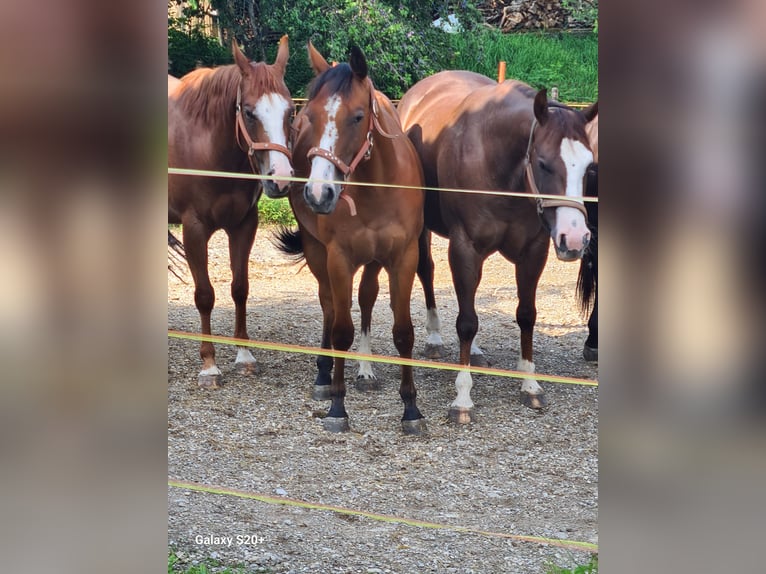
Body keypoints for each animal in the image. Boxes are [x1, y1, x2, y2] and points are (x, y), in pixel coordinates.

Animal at [169, 35, 294, 388]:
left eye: (291, 112)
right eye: (249, 113)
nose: (281, 179)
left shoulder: (243, 225)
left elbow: (240, 288)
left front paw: (244, 356)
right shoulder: (194, 229)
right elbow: (205, 295)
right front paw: (209, 365)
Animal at [276, 42, 428, 434]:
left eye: (358, 117)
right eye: (309, 117)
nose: (319, 194)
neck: (376, 186)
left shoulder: (403, 258)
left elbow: (403, 331)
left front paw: (411, 409)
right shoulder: (339, 258)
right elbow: (341, 329)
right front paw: (337, 407)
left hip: (373, 261)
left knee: (366, 298)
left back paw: (365, 369)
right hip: (317, 252)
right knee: (330, 305)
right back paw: (324, 375)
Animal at [400, 72, 604, 424]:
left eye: (590, 167)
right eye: (543, 163)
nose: (576, 238)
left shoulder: (533, 251)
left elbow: (526, 315)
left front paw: (530, 383)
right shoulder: (464, 248)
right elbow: (466, 322)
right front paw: (463, 397)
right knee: (426, 271)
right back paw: (435, 337)